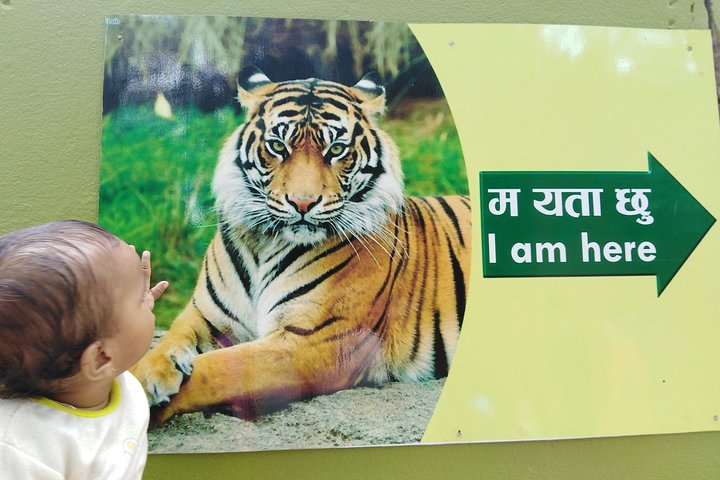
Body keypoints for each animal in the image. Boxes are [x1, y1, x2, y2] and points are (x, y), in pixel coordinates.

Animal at [130, 66, 472, 424]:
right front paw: (146, 374)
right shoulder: (206, 315)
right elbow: (170, 338)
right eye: (278, 146)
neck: (264, 243)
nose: (303, 203)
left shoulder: (317, 341)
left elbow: (217, 368)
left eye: (336, 150)